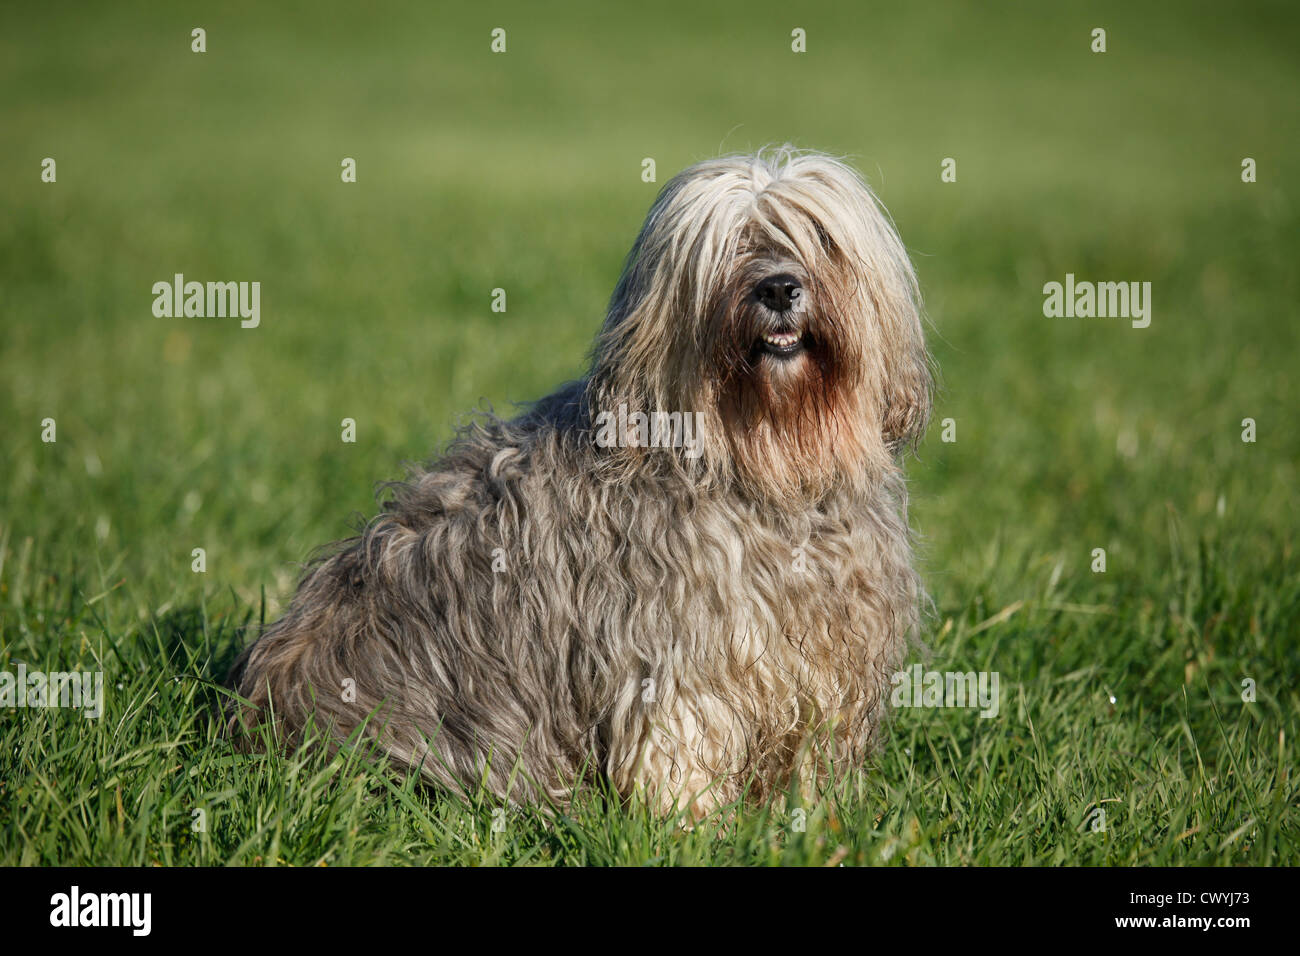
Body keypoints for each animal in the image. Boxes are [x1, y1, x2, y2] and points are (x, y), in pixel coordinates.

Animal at [226, 145, 935, 816]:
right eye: (731, 244)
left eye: (819, 236)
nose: (781, 288)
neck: (763, 467)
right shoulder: (676, 658)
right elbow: (679, 742)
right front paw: (691, 825)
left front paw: (809, 816)